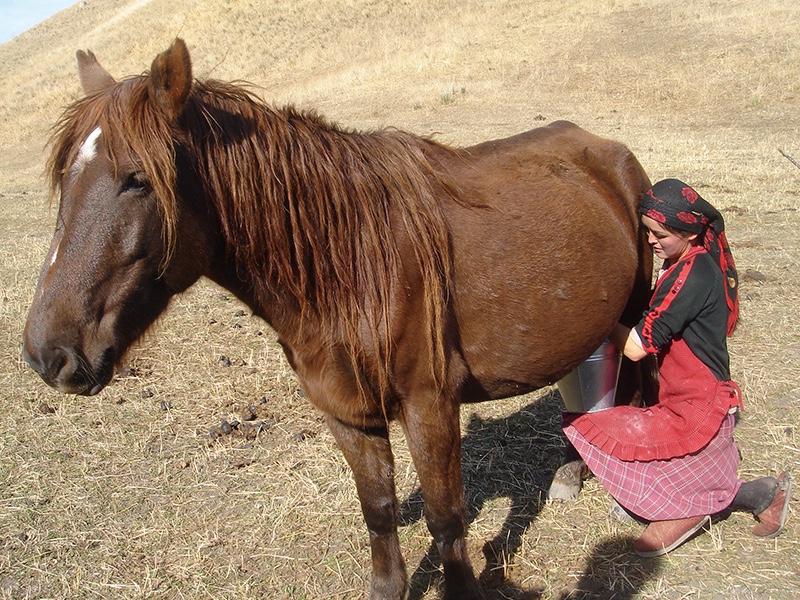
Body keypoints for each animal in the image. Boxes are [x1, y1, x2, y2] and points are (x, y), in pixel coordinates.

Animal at [23, 39, 656, 596]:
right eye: (65, 180)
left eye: (138, 180)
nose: (46, 354)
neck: (351, 267)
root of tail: (604, 147)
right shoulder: (346, 412)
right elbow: (377, 510)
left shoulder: (430, 405)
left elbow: (446, 519)